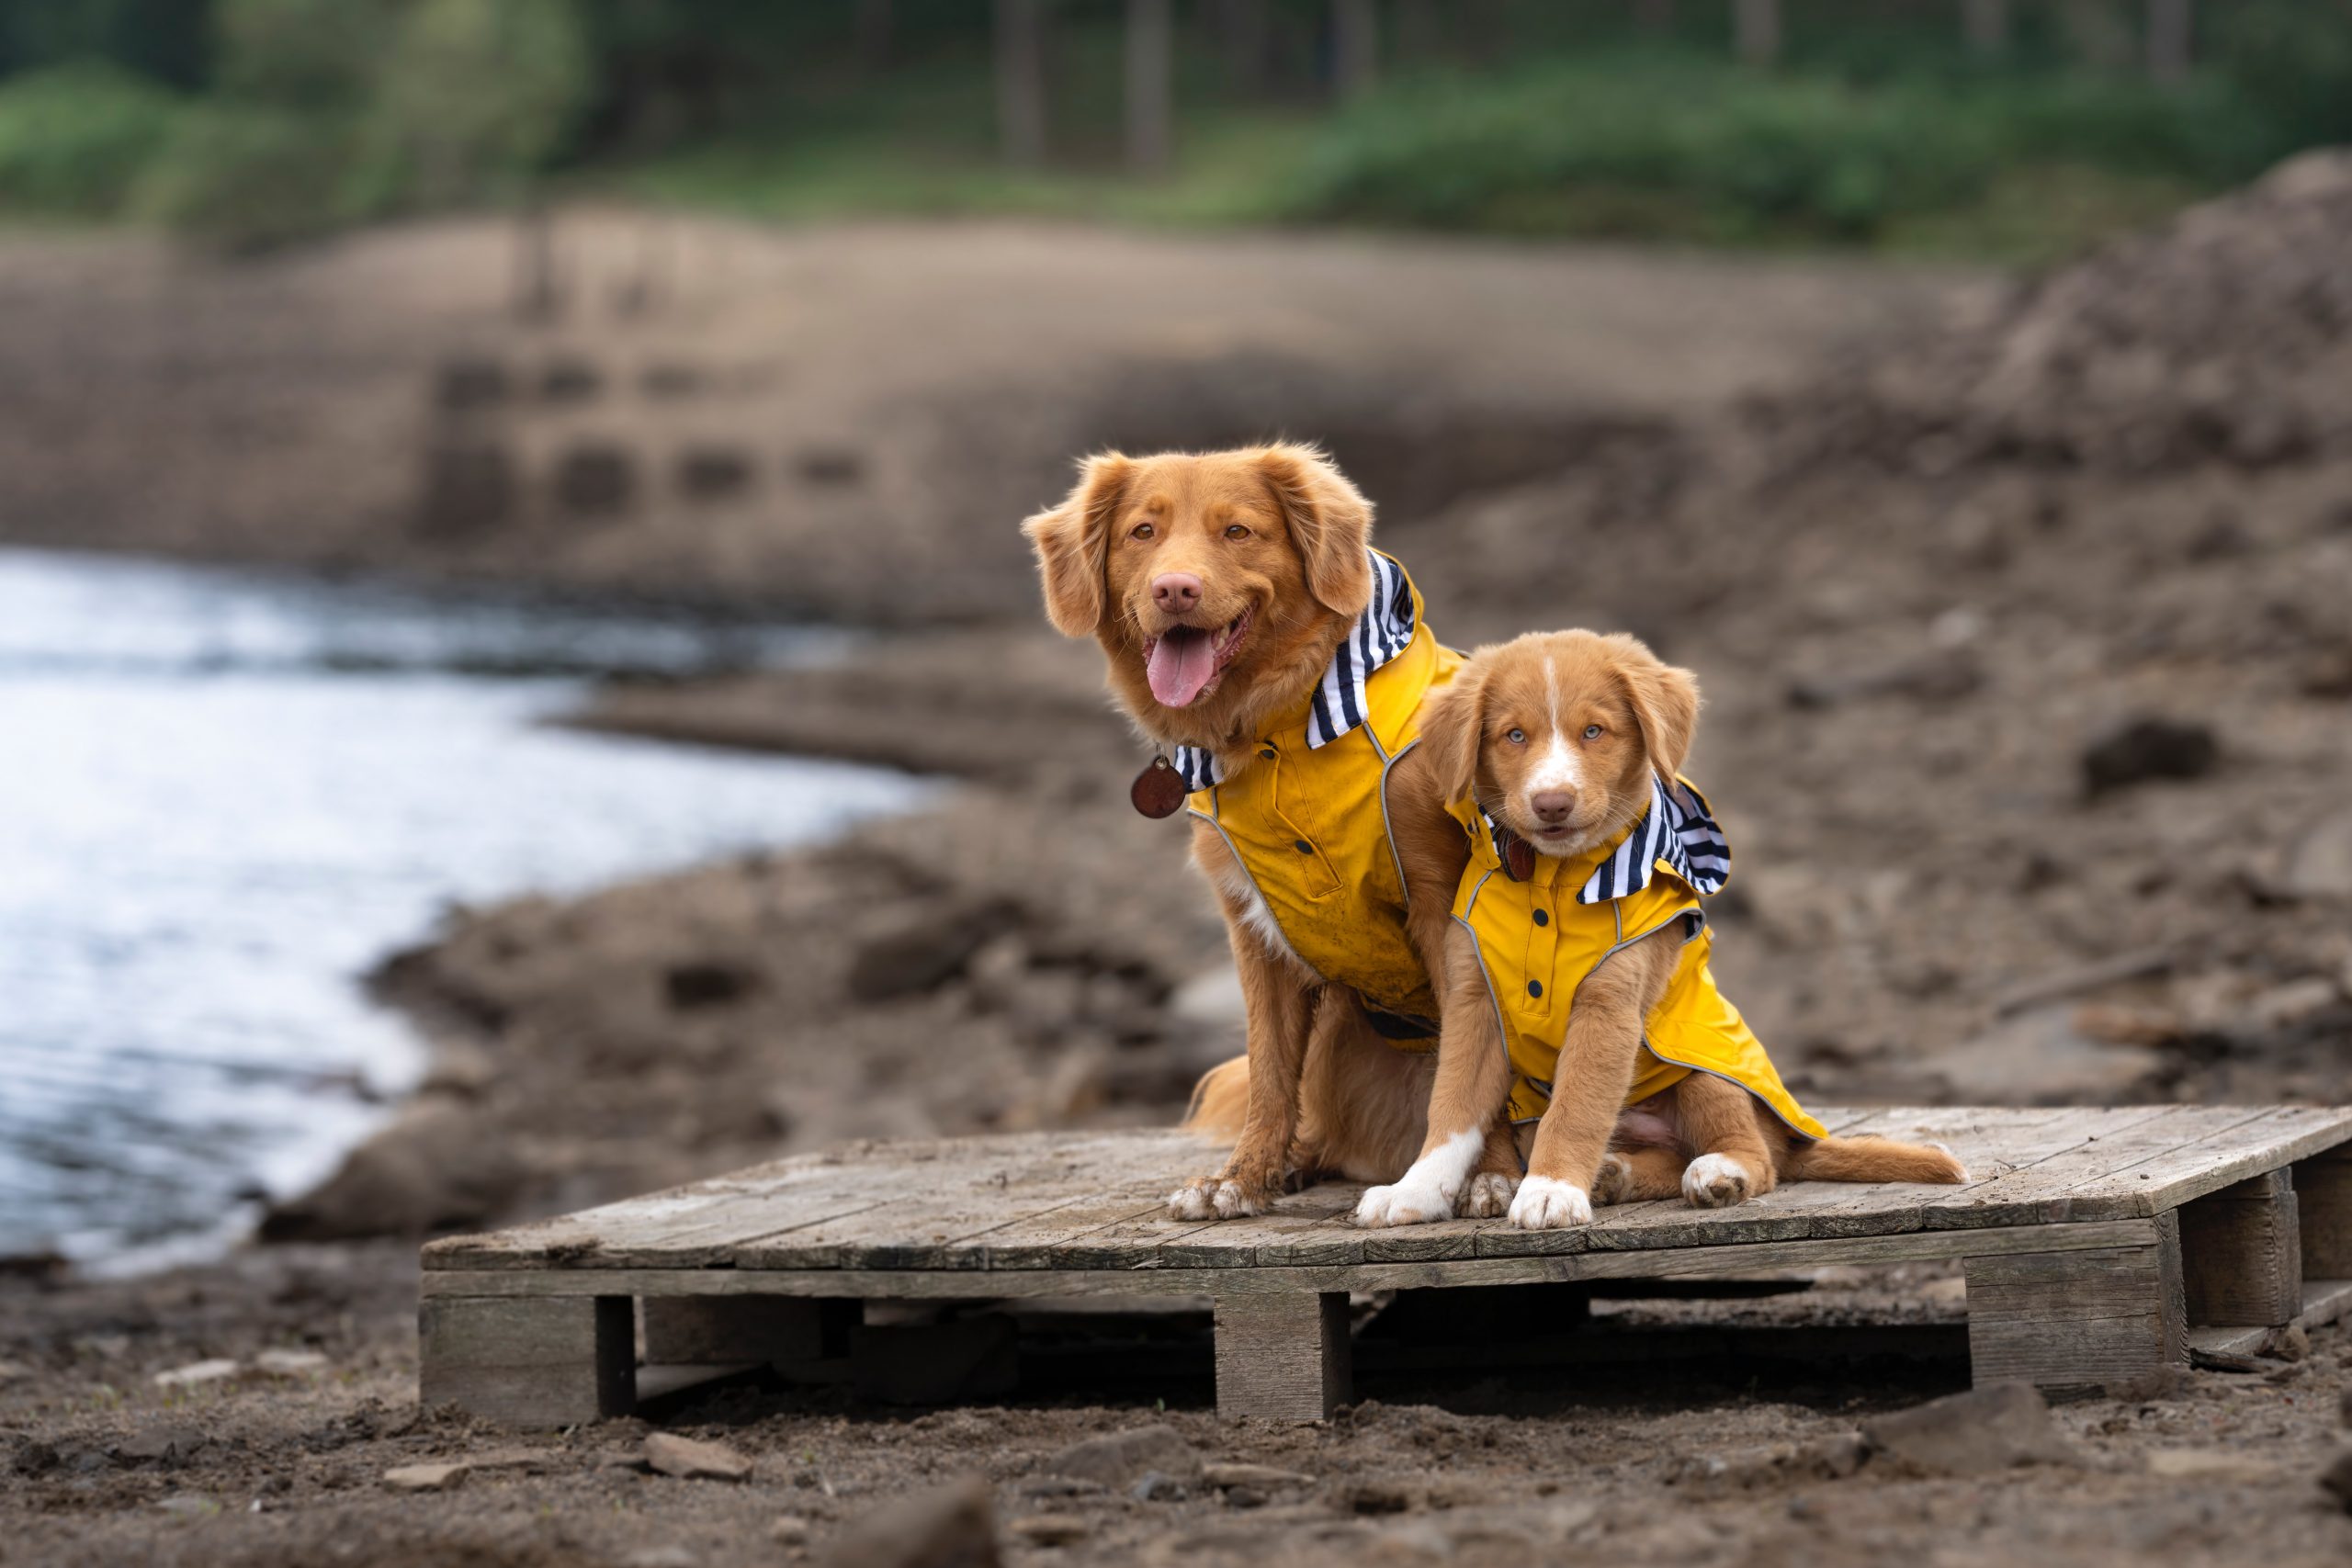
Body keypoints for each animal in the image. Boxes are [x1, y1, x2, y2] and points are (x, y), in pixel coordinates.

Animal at [1021, 446, 1496, 1222]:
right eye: (1143, 532)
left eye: (1238, 531)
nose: (1175, 589)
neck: (1274, 734)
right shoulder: (1255, 927)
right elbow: (1272, 1070)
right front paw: (1241, 1179)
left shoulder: (1442, 904)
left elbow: (1480, 1058)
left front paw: (1495, 1174)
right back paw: (1298, 1160)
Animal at [1354, 629, 1956, 1232]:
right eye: (1514, 736)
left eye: (1594, 731)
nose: (1552, 803)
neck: (1551, 884)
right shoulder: (1475, 1002)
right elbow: (1452, 1107)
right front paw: (1415, 1191)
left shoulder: (1608, 1008)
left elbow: (1575, 1107)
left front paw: (1550, 1189)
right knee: (1671, 1155)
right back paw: (1614, 1173)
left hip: (1704, 1068)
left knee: (1759, 1157)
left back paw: (1719, 1174)